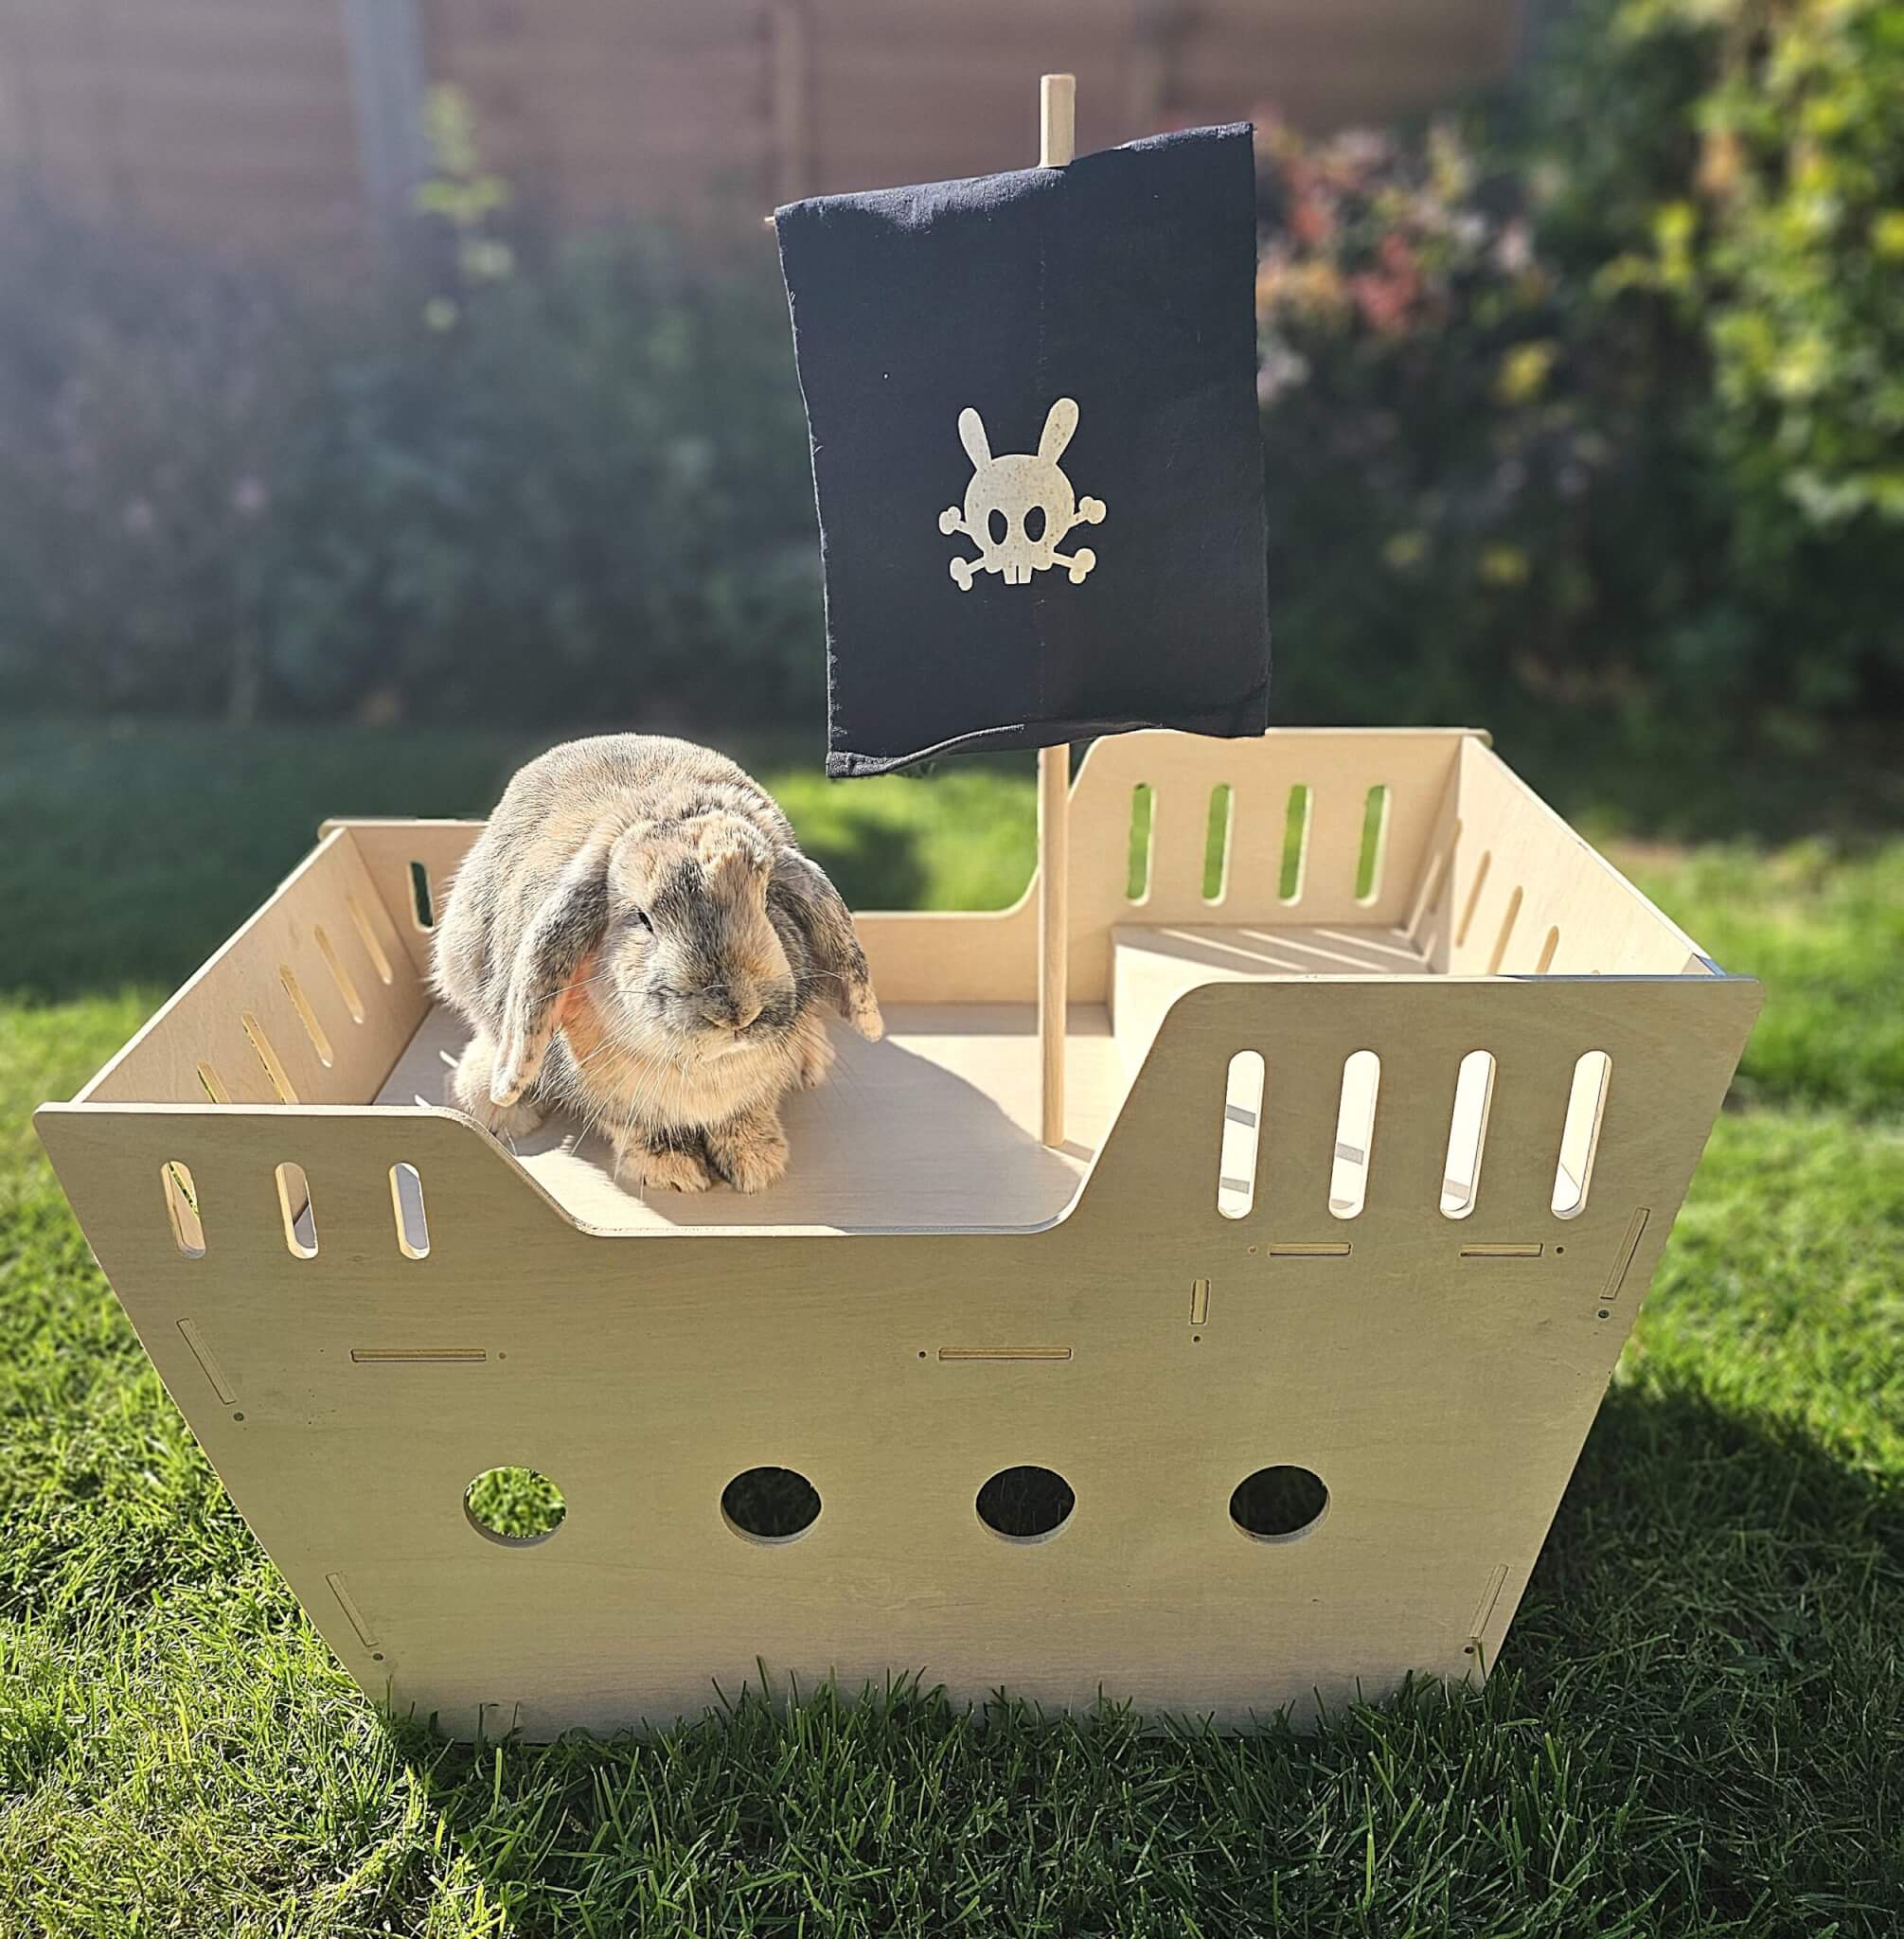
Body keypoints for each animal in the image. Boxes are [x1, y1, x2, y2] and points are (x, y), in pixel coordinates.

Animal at [432, 734, 882, 1194]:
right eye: (642, 918)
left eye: (768, 898)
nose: (737, 1012)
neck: (708, 1066)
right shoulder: (617, 1101)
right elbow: (640, 1128)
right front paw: (674, 1171)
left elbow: (746, 1115)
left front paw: (757, 1162)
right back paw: (494, 1104)